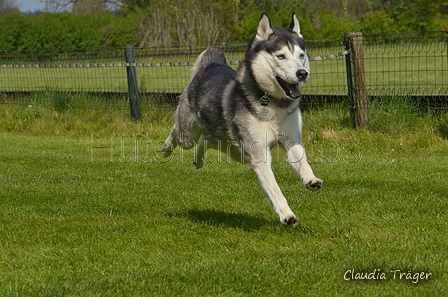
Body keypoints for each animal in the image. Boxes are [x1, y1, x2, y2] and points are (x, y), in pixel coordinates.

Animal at [163, 11, 324, 224]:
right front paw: (287, 215)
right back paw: (167, 148)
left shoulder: (291, 140)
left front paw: (310, 179)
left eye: (301, 55)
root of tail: (213, 64)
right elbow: (275, 190)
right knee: (180, 132)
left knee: (207, 140)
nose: (302, 73)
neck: (272, 103)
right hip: (188, 134)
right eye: (281, 56)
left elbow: (301, 160)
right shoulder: (258, 154)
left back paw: (198, 160)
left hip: (230, 146)